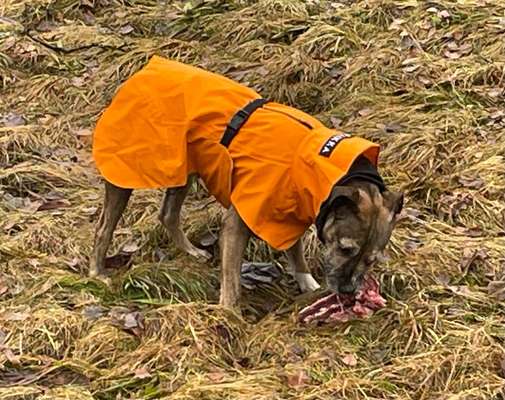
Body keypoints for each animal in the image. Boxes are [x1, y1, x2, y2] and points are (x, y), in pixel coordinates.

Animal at [89, 57, 402, 312]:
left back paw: (191, 251)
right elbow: (232, 281)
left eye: (371, 260)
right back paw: (97, 273)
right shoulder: (237, 223)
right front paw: (228, 316)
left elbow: (296, 255)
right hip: (126, 170)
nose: (348, 292)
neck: (317, 168)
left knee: (168, 215)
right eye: (346, 248)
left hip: (184, 168)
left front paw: (308, 284)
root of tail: (145, 70)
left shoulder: (288, 218)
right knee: (104, 228)